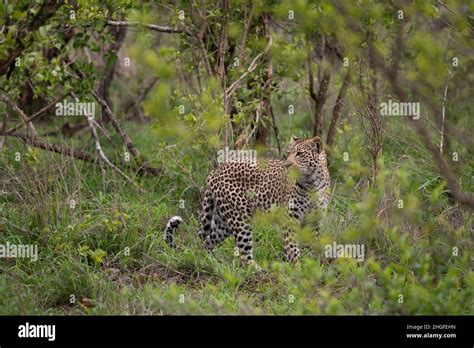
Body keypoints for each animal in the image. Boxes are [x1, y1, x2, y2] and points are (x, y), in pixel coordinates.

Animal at [165, 135, 332, 266]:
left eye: (299, 154)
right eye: (289, 154)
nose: (287, 164)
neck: (312, 183)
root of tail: (215, 172)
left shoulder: (314, 221)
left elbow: (312, 245)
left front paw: (312, 266)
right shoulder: (290, 219)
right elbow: (292, 248)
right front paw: (296, 269)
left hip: (222, 221)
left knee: (207, 242)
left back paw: (210, 262)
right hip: (240, 217)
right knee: (244, 252)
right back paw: (258, 270)